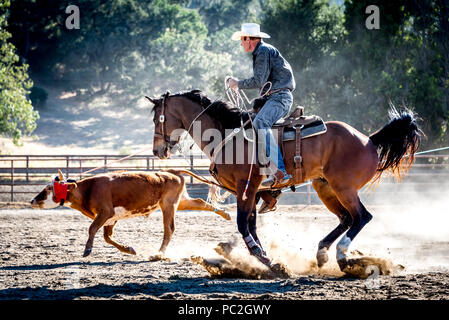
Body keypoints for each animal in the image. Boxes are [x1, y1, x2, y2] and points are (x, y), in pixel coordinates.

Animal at [30, 170, 231, 258]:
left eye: (48, 188)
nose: (32, 201)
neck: (87, 190)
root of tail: (171, 171)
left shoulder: (105, 212)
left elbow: (92, 229)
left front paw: (87, 250)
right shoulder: (110, 218)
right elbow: (107, 237)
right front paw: (129, 249)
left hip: (169, 204)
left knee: (169, 228)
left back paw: (160, 253)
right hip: (180, 201)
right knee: (199, 202)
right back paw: (226, 214)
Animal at [145, 89, 418, 270]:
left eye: (157, 119)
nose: (157, 150)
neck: (226, 134)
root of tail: (368, 139)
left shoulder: (246, 187)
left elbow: (242, 223)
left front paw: (262, 256)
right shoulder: (252, 192)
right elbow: (251, 225)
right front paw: (264, 257)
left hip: (344, 187)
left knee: (361, 217)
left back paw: (342, 257)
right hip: (325, 187)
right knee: (346, 218)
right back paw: (322, 253)